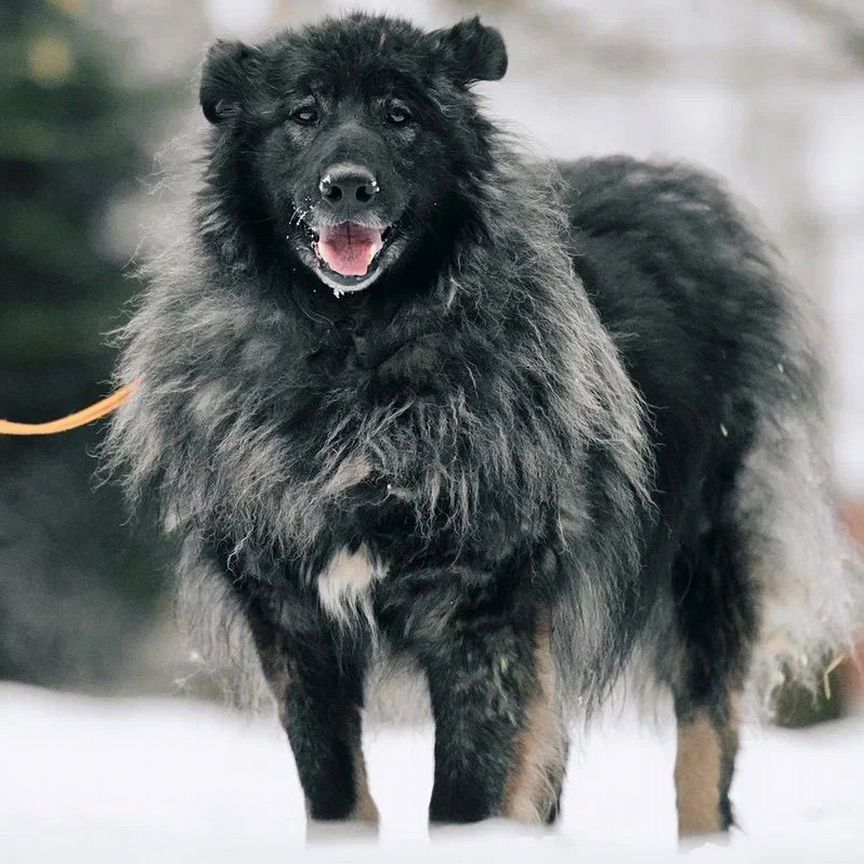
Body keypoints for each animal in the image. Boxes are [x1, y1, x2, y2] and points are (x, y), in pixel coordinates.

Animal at [103, 11, 864, 836]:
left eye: (399, 116)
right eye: (302, 115)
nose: (348, 186)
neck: (357, 354)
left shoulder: (483, 613)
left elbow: (465, 800)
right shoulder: (295, 622)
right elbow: (337, 794)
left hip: (707, 569)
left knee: (704, 754)